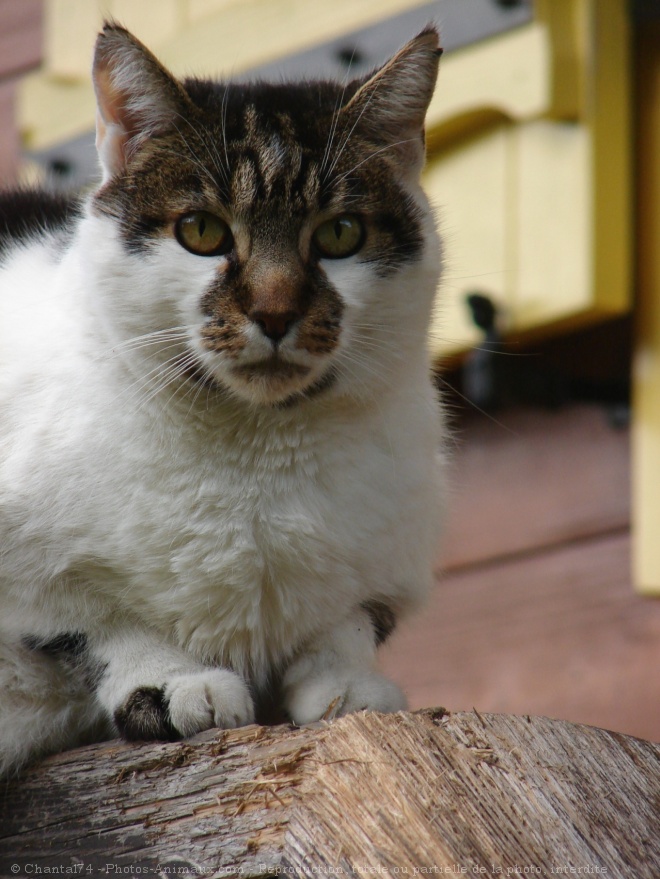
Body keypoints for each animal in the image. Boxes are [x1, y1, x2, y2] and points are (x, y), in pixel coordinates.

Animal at [0, 22, 446, 776]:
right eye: (202, 231)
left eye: (341, 234)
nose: (275, 311)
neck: (255, 454)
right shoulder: (30, 580)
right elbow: (91, 620)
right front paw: (173, 681)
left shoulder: (393, 560)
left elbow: (350, 619)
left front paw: (346, 680)